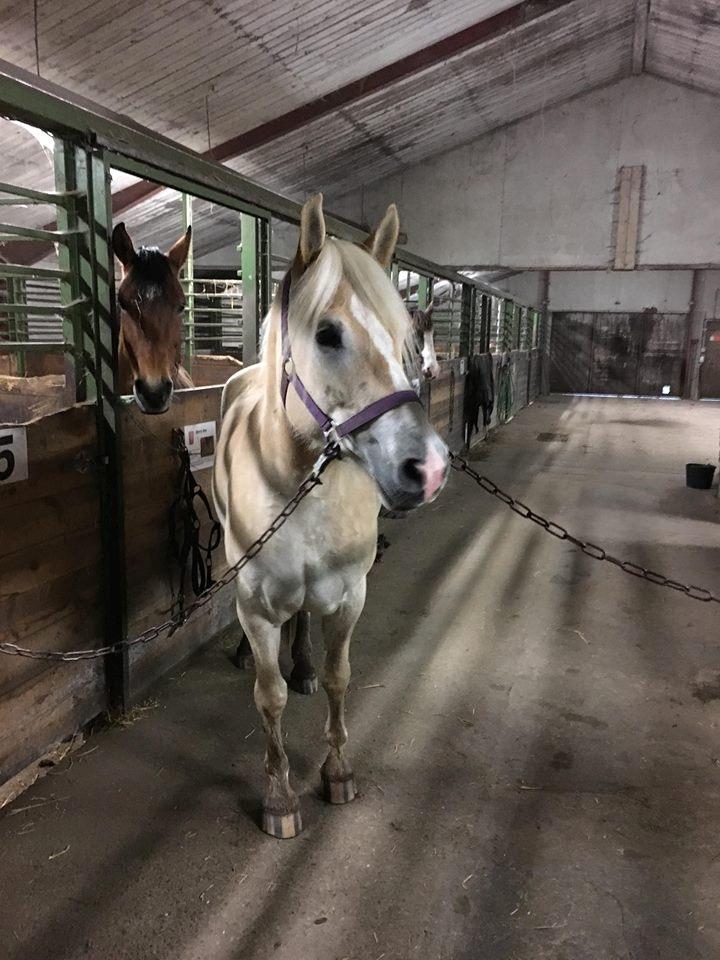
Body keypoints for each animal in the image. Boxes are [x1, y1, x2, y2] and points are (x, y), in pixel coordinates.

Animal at [214, 197, 448, 840]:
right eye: (326, 333)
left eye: (405, 338)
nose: (429, 468)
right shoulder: (257, 608)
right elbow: (267, 697)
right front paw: (279, 798)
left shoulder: (348, 597)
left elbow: (342, 677)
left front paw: (337, 772)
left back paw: (303, 666)